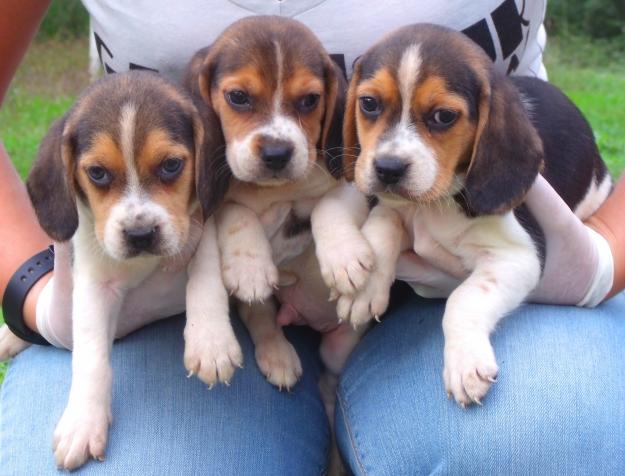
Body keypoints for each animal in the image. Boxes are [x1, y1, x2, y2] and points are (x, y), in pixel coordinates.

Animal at [25, 70, 236, 468]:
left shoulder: (204, 218)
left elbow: (204, 270)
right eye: (97, 173)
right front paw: (83, 422)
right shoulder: (92, 280)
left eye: (171, 165)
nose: (140, 235)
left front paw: (210, 339)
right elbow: (91, 355)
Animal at [185, 16, 370, 390]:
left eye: (310, 100)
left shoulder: (350, 184)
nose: (276, 153)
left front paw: (344, 259)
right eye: (238, 97)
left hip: (340, 347)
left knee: (330, 374)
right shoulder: (216, 201)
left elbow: (328, 207)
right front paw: (250, 268)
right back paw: (278, 354)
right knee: (261, 317)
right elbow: (237, 212)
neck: (271, 190)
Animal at [336, 24, 608, 406]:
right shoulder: (396, 206)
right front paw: (366, 286)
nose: (388, 168)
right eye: (369, 104)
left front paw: (465, 364)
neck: (434, 204)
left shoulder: (517, 257)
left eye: (443, 116)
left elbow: (463, 299)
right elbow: (383, 224)